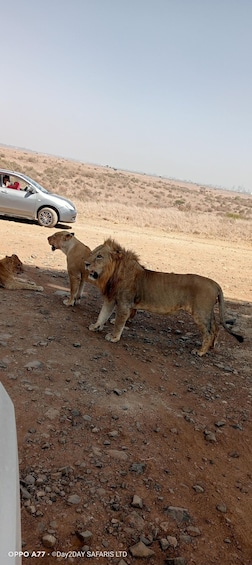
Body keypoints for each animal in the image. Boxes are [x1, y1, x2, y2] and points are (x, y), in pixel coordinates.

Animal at [85, 239, 244, 356]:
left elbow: (119, 323)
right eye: (92, 253)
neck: (112, 275)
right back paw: (211, 347)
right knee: (216, 327)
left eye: (99, 256)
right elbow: (103, 314)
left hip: (200, 312)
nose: (86, 263)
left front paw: (113, 337)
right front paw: (96, 326)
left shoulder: (125, 304)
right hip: (207, 312)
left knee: (209, 332)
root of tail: (215, 284)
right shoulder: (111, 299)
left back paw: (200, 352)